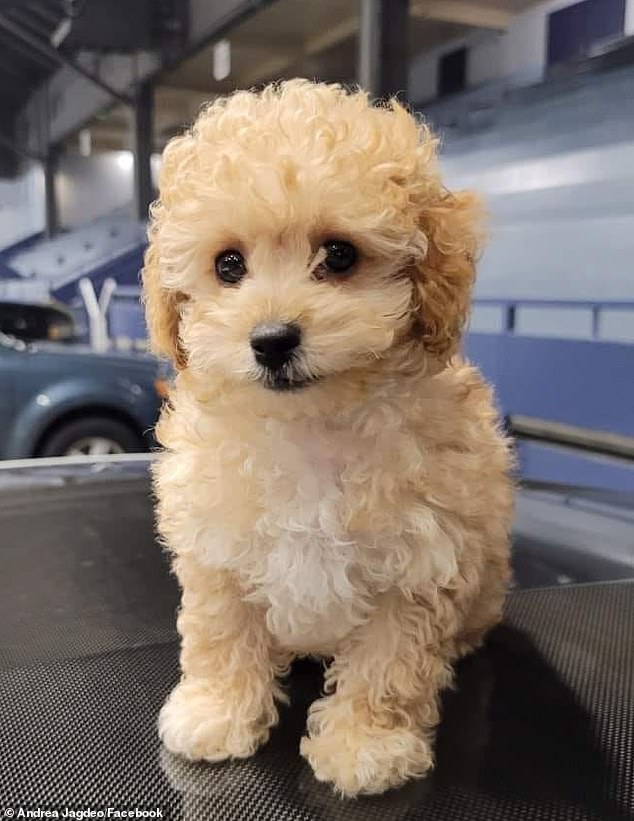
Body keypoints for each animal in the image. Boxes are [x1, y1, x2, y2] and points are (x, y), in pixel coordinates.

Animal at [141, 77, 512, 796]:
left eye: (339, 255)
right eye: (229, 265)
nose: (272, 339)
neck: (310, 425)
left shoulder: (420, 561)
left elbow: (389, 665)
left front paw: (367, 744)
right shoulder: (217, 548)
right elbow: (220, 634)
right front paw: (217, 712)